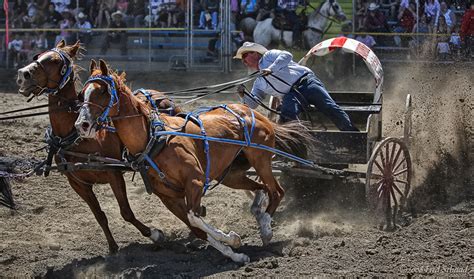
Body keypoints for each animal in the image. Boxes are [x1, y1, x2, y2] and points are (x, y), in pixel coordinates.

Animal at [14, 41, 181, 254]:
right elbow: (99, 215)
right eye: (38, 55)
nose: (23, 74)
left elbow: (126, 212)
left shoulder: (113, 174)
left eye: (55, 60)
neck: (75, 136)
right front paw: (112, 246)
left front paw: (154, 234)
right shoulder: (78, 183)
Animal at [75, 59, 314, 262]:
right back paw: (258, 214)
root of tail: (253, 112)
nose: (82, 125)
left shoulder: (195, 181)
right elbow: (195, 227)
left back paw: (265, 228)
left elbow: (194, 216)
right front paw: (235, 252)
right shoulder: (169, 197)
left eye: (103, 91)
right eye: (81, 95)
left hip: (261, 159)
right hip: (232, 175)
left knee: (276, 191)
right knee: (262, 188)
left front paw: (231, 239)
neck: (153, 140)